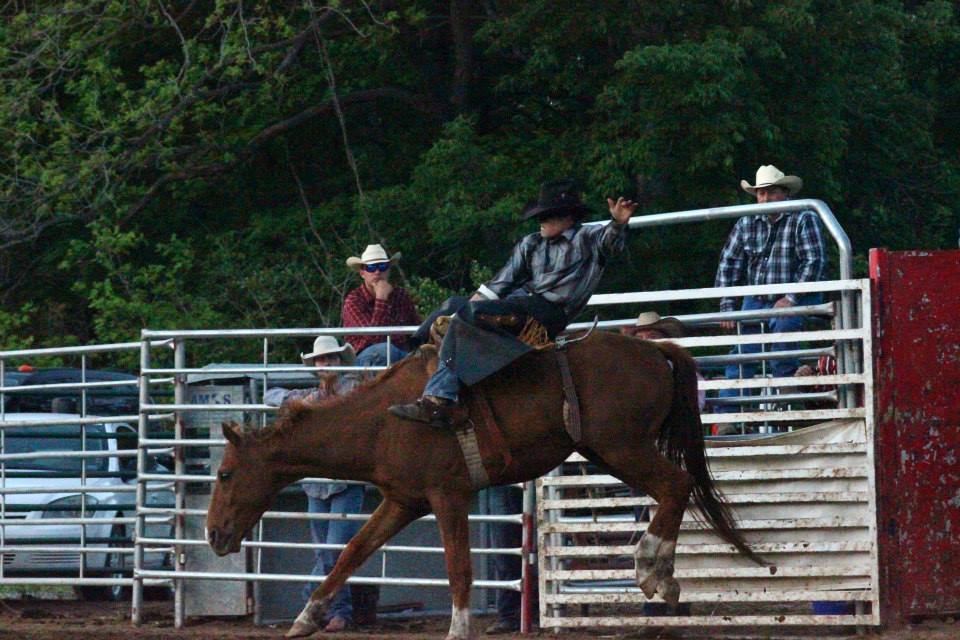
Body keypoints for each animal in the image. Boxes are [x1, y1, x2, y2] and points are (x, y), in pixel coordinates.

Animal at [206, 332, 760, 636]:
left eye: (225, 472)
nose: (213, 534)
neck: (384, 421)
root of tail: (653, 348)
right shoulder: (402, 501)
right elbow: (352, 552)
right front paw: (307, 617)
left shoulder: (448, 495)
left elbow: (459, 570)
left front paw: (457, 629)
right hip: (610, 452)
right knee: (672, 488)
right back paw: (660, 574)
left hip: (624, 447)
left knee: (676, 484)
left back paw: (651, 570)